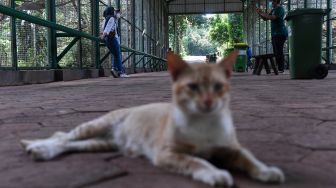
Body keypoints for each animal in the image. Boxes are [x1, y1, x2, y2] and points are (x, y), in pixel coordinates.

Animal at [20, 51, 284, 187]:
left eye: (218, 87)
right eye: (192, 87)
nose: (208, 102)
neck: (204, 123)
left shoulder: (232, 148)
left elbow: (250, 158)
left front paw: (267, 171)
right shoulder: (167, 153)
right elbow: (196, 162)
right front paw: (215, 173)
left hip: (102, 143)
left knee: (74, 144)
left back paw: (40, 150)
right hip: (96, 125)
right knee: (62, 136)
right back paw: (39, 147)